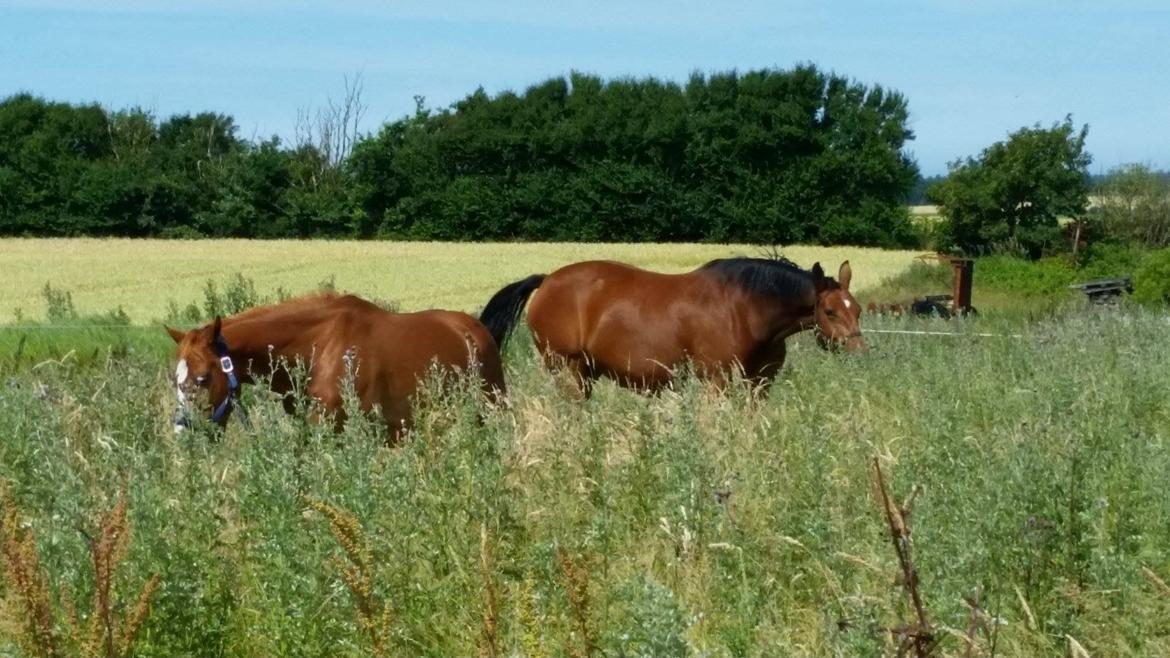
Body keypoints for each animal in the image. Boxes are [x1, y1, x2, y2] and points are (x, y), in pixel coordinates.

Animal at [479, 255, 865, 393]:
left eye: (857, 309)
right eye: (830, 311)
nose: (858, 350)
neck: (747, 307)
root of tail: (546, 281)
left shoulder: (759, 383)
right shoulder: (716, 379)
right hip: (567, 368)